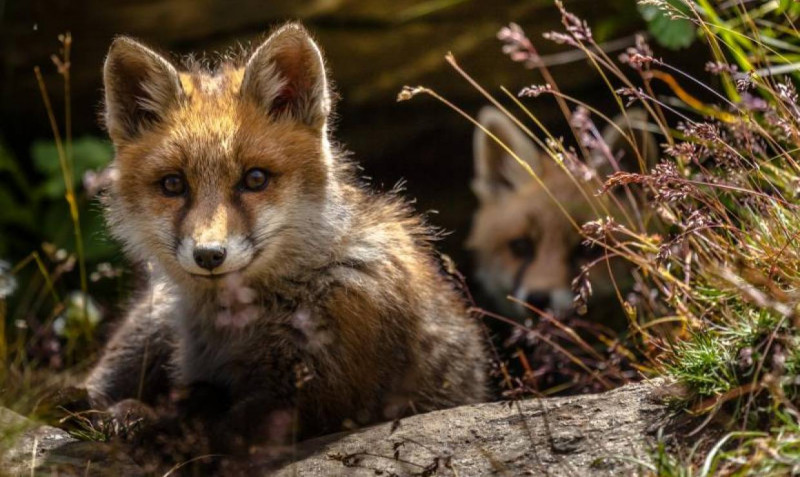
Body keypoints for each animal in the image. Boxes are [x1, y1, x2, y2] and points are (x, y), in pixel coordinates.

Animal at [83, 24, 487, 454]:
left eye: (255, 179)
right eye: (173, 184)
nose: (209, 255)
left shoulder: (308, 393)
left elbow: (218, 431)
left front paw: (162, 427)